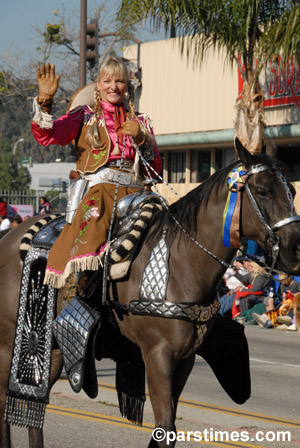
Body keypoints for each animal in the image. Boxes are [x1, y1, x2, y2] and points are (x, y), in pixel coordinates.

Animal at [0, 138, 300, 446]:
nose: (295, 249)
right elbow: (165, 427)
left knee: (36, 408)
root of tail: (9, 238)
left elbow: (165, 429)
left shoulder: (185, 359)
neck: (182, 261)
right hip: (11, 343)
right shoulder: (157, 355)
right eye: (263, 191)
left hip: (56, 350)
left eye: (292, 191)